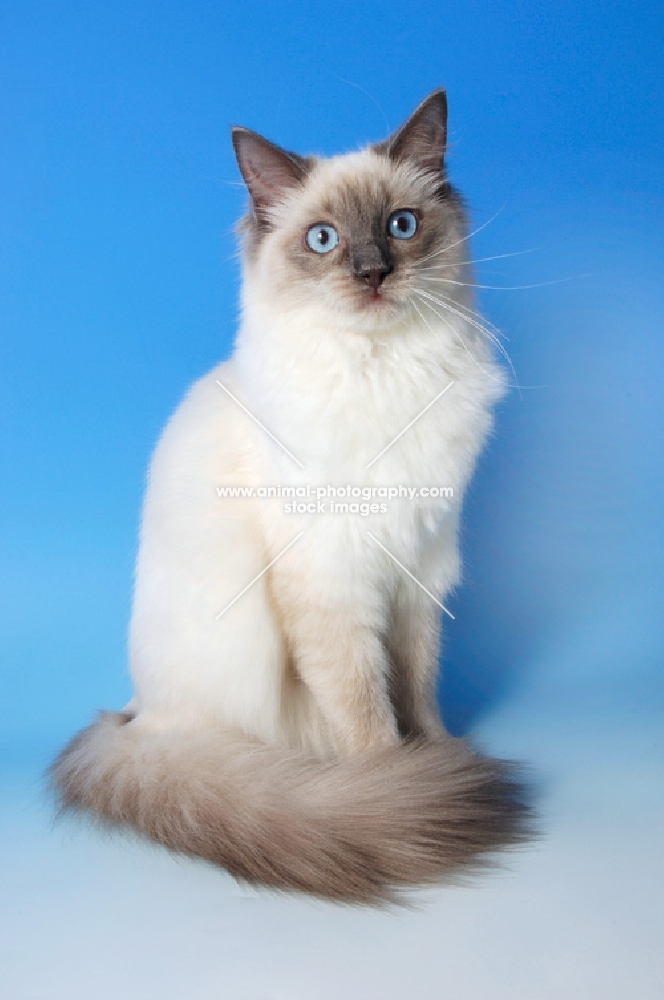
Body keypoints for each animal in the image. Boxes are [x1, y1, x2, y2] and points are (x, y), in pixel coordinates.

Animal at [50, 92, 528, 908]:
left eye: (402, 226)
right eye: (323, 239)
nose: (372, 274)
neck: (382, 372)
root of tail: (136, 720)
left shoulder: (418, 570)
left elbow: (419, 692)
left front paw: (434, 760)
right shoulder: (334, 584)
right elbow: (370, 715)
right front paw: (397, 791)